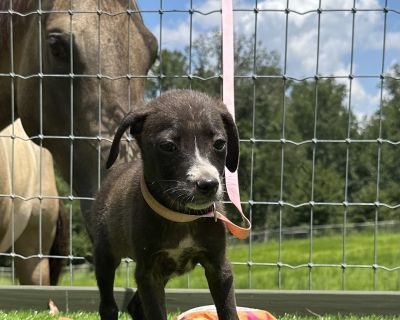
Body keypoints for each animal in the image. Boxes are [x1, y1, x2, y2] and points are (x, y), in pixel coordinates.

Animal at [86, 89, 239, 320]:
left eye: (220, 143)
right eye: (168, 146)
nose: (208, 184)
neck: (182, 216)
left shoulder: (219, 266)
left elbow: (229, 311)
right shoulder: (148, 273)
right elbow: (156, 312)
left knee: (135, 306)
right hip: (105, 254)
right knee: (108, 306)